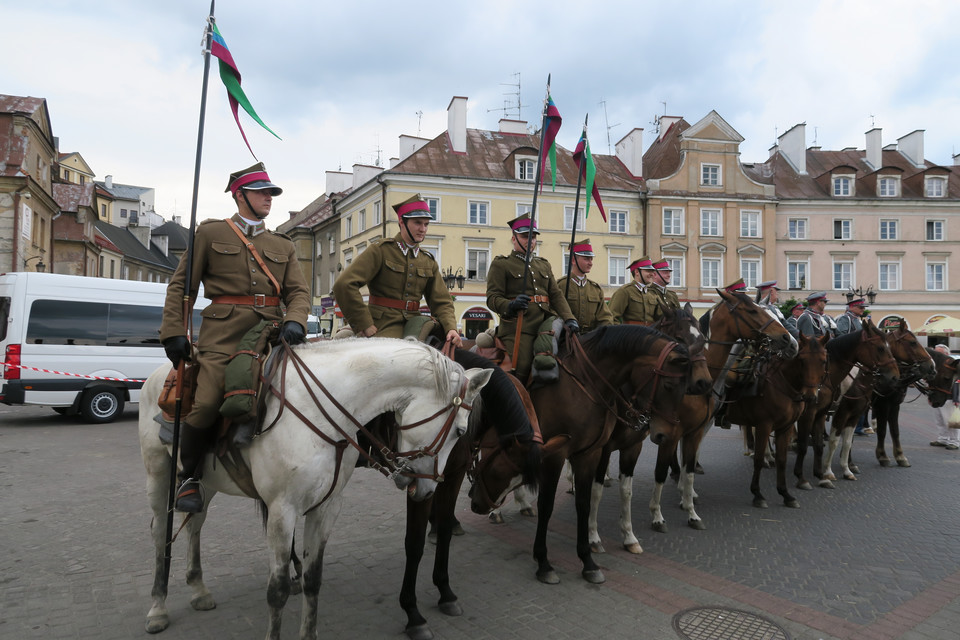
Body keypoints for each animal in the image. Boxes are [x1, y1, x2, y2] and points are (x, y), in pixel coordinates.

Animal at [139, 338, 492, 636]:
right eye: (460, 431)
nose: (429, 489)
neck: (321, 412)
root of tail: (158, 373)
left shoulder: (326, 508)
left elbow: (313, 579)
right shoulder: (282, 511)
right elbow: (277, 590)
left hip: (205, 479)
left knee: (194, 522)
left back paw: (198, 589)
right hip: (158, 474)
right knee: (159, 531)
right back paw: (157, 607)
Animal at [792, 320, 896, 490]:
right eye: (881, 348)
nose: (895, 377)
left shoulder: (852, 414)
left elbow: (846, 442)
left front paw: (846, 469)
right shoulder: (832, 413)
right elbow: (831, 442)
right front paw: (825, 472)